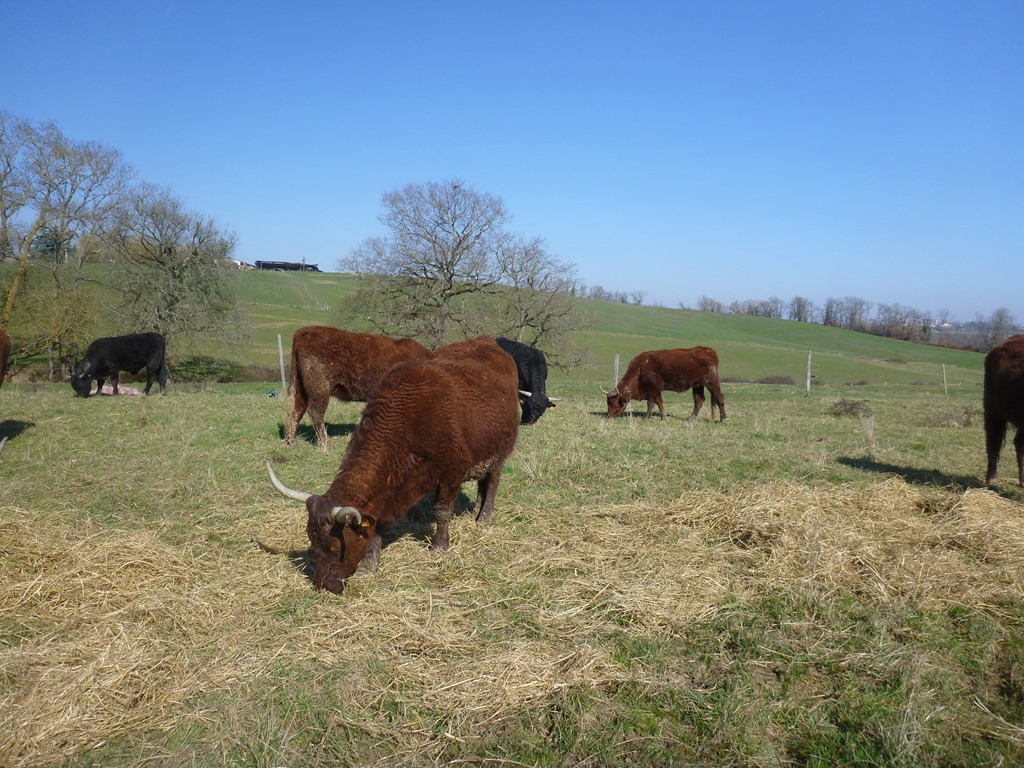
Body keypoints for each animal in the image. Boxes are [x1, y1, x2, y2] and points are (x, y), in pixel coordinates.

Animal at [284, 326, 430, 449]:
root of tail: (305, 331)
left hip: (302, 387)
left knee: (297, 409)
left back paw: (292, 441)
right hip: (319, 387)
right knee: (315, 412)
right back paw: (325, 445)